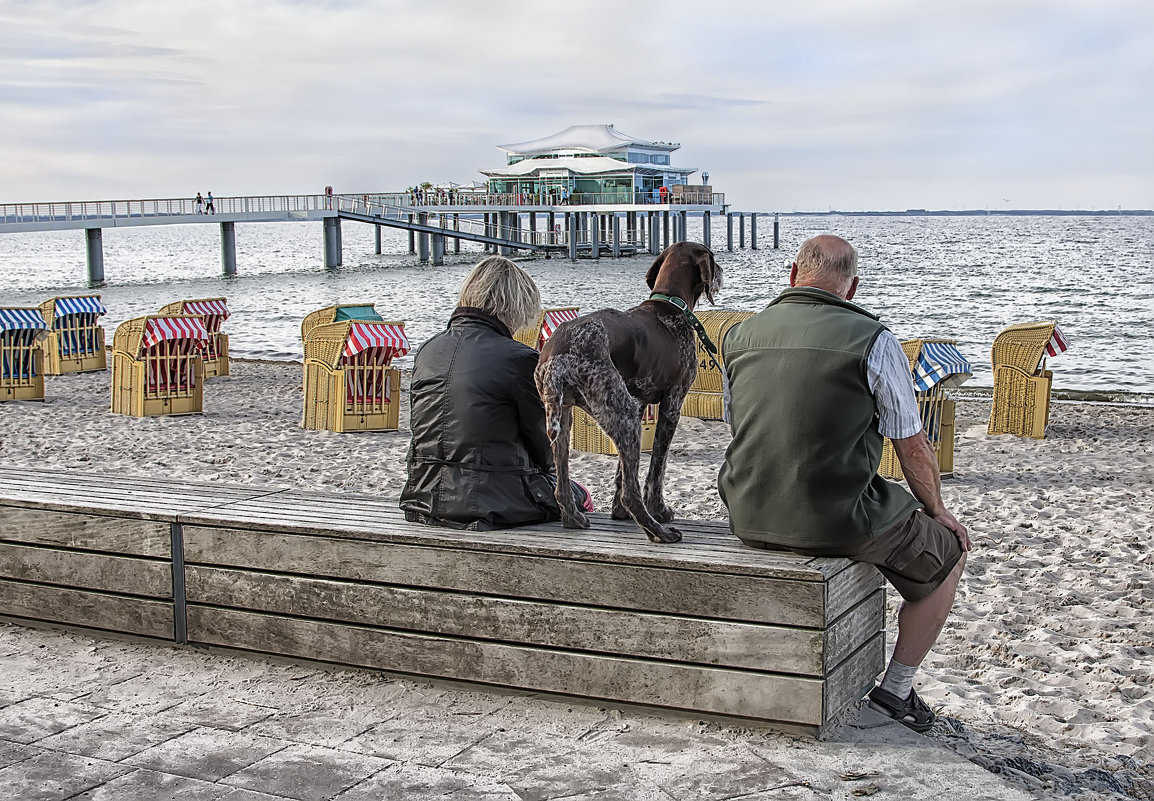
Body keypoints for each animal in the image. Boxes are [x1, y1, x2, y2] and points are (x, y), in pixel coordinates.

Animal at [533, 243, 720, 547]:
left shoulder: (639, 404)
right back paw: (659, 532)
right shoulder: (672, 405)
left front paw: (618, 513)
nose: (721, 273)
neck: (669, 305)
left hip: (571, 418)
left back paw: (573, 518)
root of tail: (560, 357)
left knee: (561, 485)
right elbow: (657, 467)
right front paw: (659, 510)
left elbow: (621, 473)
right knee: (632, 494)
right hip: (624, 416)